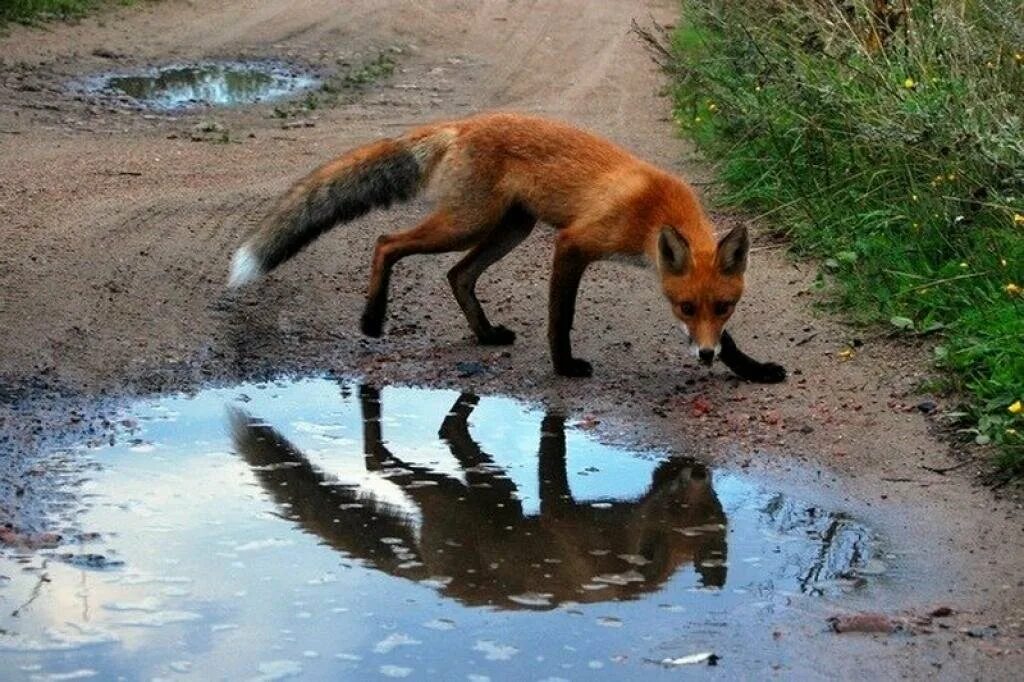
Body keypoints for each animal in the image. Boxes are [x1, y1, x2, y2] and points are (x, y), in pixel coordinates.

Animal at [230, 109, 782, 378]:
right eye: (685, 308)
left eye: (724, 307)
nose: (704, 358)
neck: (653, 211)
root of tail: (463, 125)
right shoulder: (573, 244)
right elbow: (561, 318)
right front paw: (564, 367)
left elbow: (733, 341)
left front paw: (750, 369)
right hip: (467, 225)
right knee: (387, 242)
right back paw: (371, 319)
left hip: (510, 230)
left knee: (457, 274)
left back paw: (486, 334)